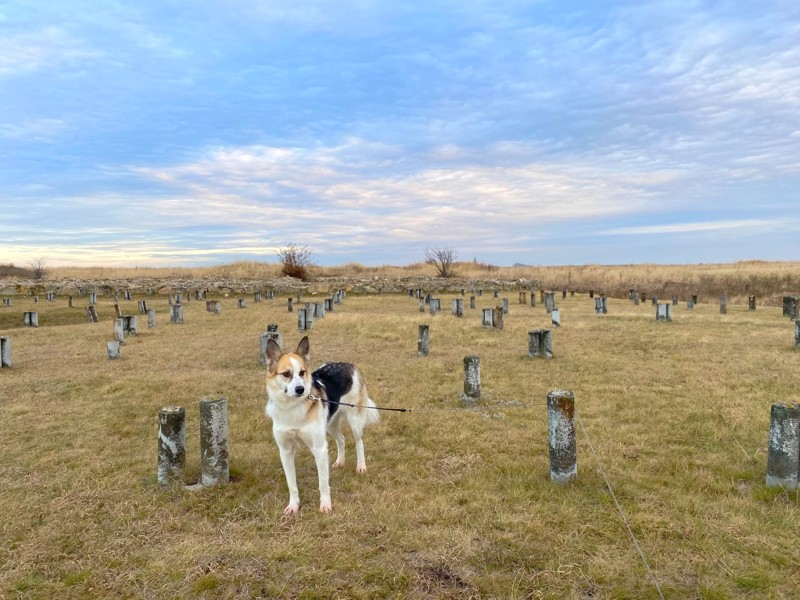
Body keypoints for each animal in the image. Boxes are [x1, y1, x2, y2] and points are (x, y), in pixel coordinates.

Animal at [266, 336, 382, 512]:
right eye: (286, 374)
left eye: (302, 372)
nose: (300, 389)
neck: (293, 408)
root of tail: (349, 365)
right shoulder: (285, 451)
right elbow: (292, 485)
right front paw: (293, 505)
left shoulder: (319, 449)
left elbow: (323, 483)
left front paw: (326, 505)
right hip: (330, 424)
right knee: (341, 439)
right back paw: (340, 461)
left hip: (354, 420)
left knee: (359, 443)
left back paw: (361, 466)